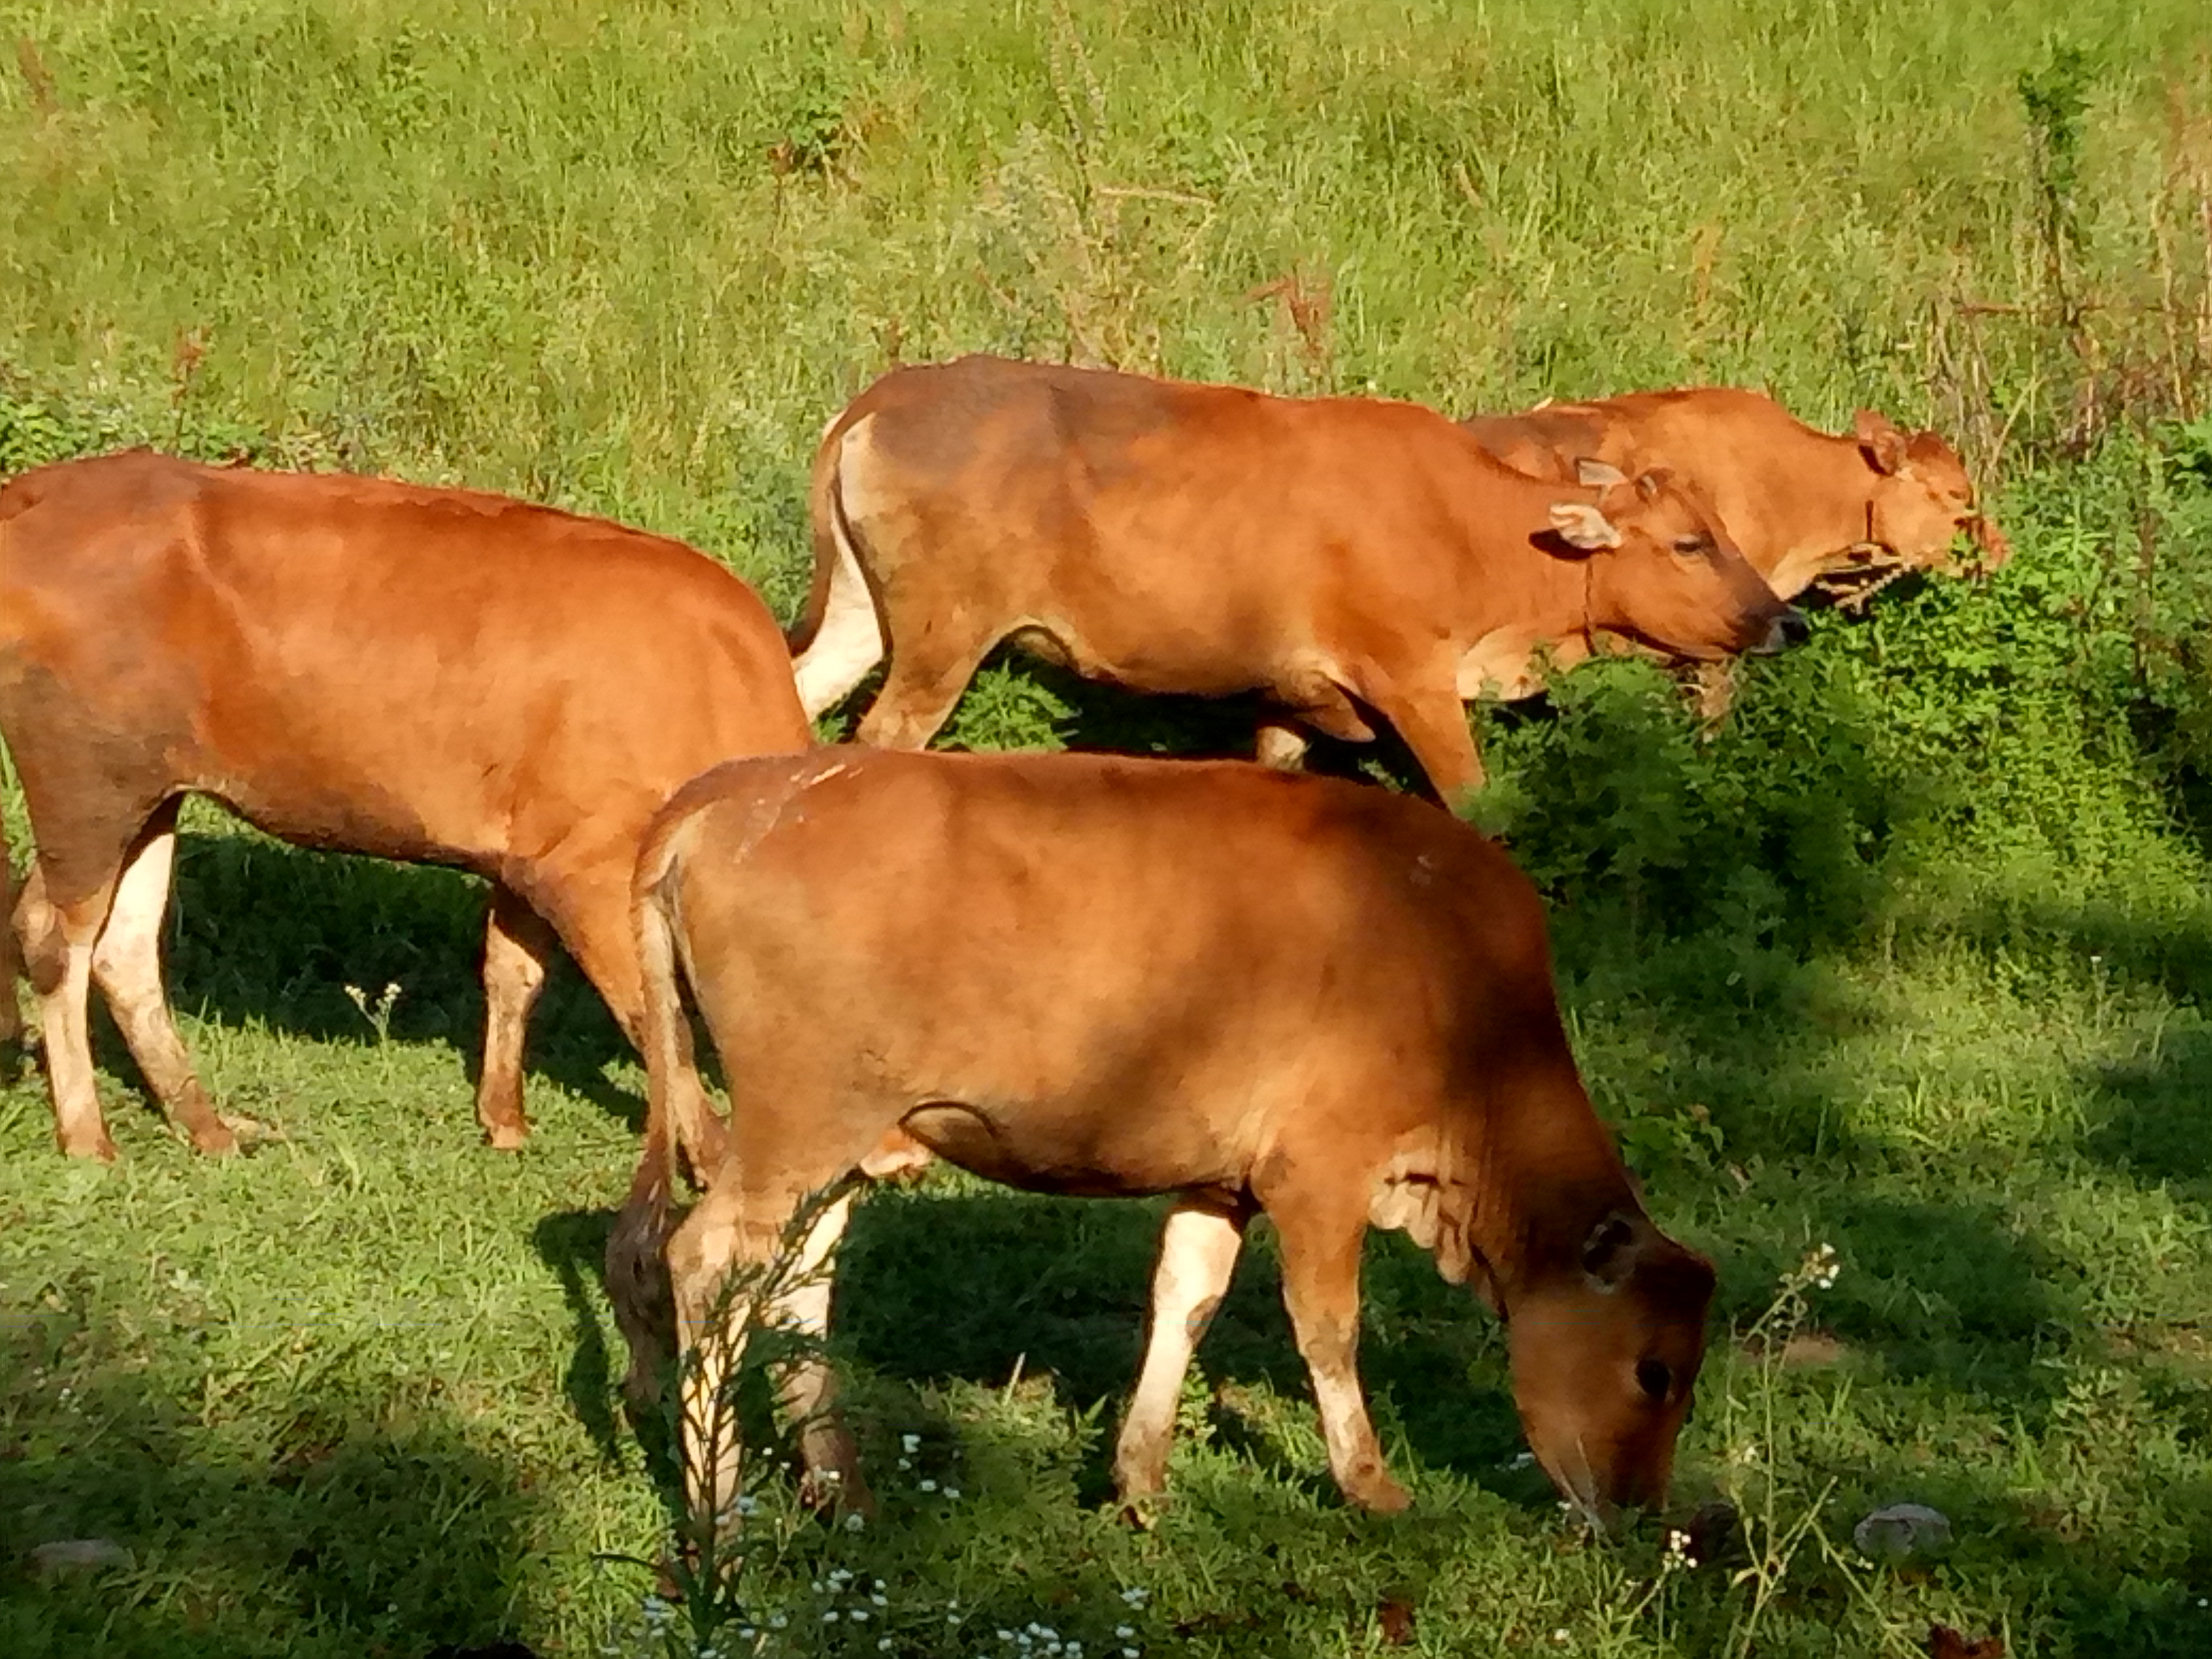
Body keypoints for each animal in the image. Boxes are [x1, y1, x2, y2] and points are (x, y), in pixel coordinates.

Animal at [0, 449, 814, 1159]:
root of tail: (36, 494)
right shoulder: (588, 864)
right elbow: (658, 1018)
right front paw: (709, 1155)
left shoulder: (526, 855)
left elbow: (513, 974)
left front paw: (505, 1121)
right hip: (84, 781)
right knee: (55, 935)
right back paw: (89, 1138)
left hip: (151, 789)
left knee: (125, 950)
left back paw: (209, 1127)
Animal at [610, 748, 1725, 1539]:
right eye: (1654, 1373)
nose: (1639, 1508)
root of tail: (734, 788)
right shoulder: (1321, 1169)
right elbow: (1329, 1327)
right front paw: (1370, 1484)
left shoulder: (1223, 1179)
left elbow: (1184, 1299)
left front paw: (1139, 1480)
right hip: (796, 1122)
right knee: (705, 1261)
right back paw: (718, 1526)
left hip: (839, 1141)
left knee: (790, 1289)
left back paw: (844, 1494)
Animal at [783, 358, 1796, 814]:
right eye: (1690, 542)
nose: (1782, 621)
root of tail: (885, 396)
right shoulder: (1413, 679)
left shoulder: (1293, 695)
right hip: (942, 640)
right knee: (882, 735)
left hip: (865, 618)